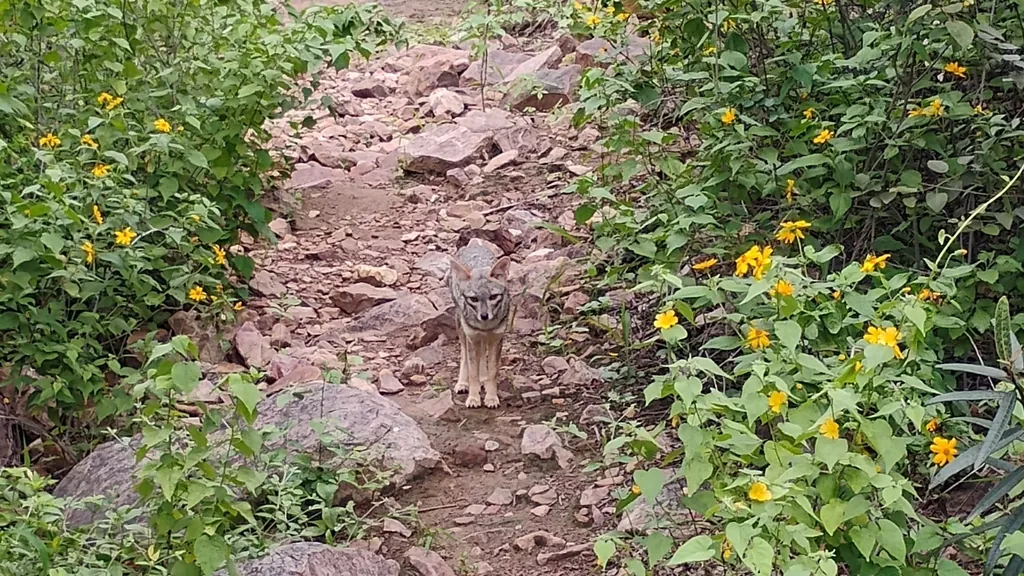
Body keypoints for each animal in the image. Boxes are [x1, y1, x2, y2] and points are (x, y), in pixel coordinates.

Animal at [447, 244, 512, 409]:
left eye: (493, 297)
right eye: (474, 299)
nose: (484, 316)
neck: (485, 326)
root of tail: (473, 245)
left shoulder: (496, 338)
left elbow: (493, 371)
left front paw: (491, 397)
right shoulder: (472, 337)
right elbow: (472, 372)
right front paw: (474, 398)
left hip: (483, 339)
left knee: (482, 355)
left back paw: (484, 379)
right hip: (462, 329)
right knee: (465, 355)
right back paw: (462, 383)